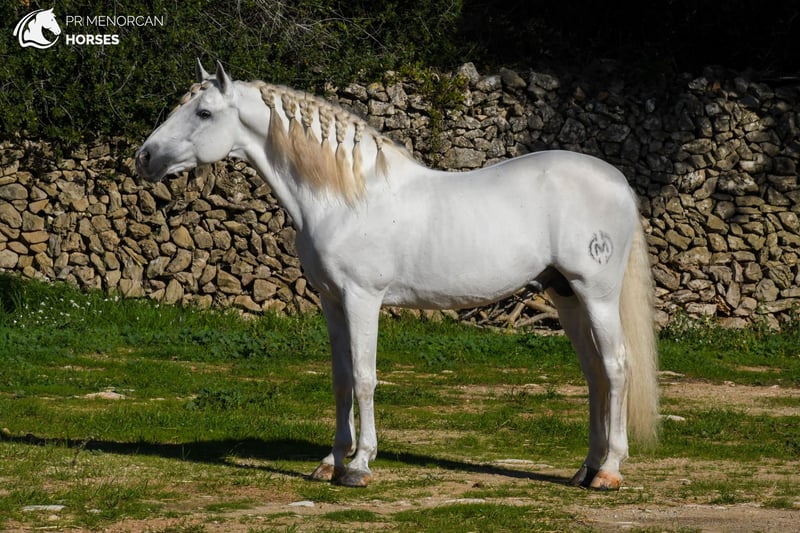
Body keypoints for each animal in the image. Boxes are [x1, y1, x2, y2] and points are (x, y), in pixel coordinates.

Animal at [135, 60, 659, 490]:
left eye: (204, 113)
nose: (145, 158)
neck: (345, 197)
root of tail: (617, 181)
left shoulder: (362, 298)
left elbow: (365, 377)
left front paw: (359, 465)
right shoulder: (331, 301)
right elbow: (341, 378)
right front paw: (330, 462)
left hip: (596, 294)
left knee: (616, 367)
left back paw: (610, 471)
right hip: (565, 295)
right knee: (594, 374)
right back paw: (586, 468)